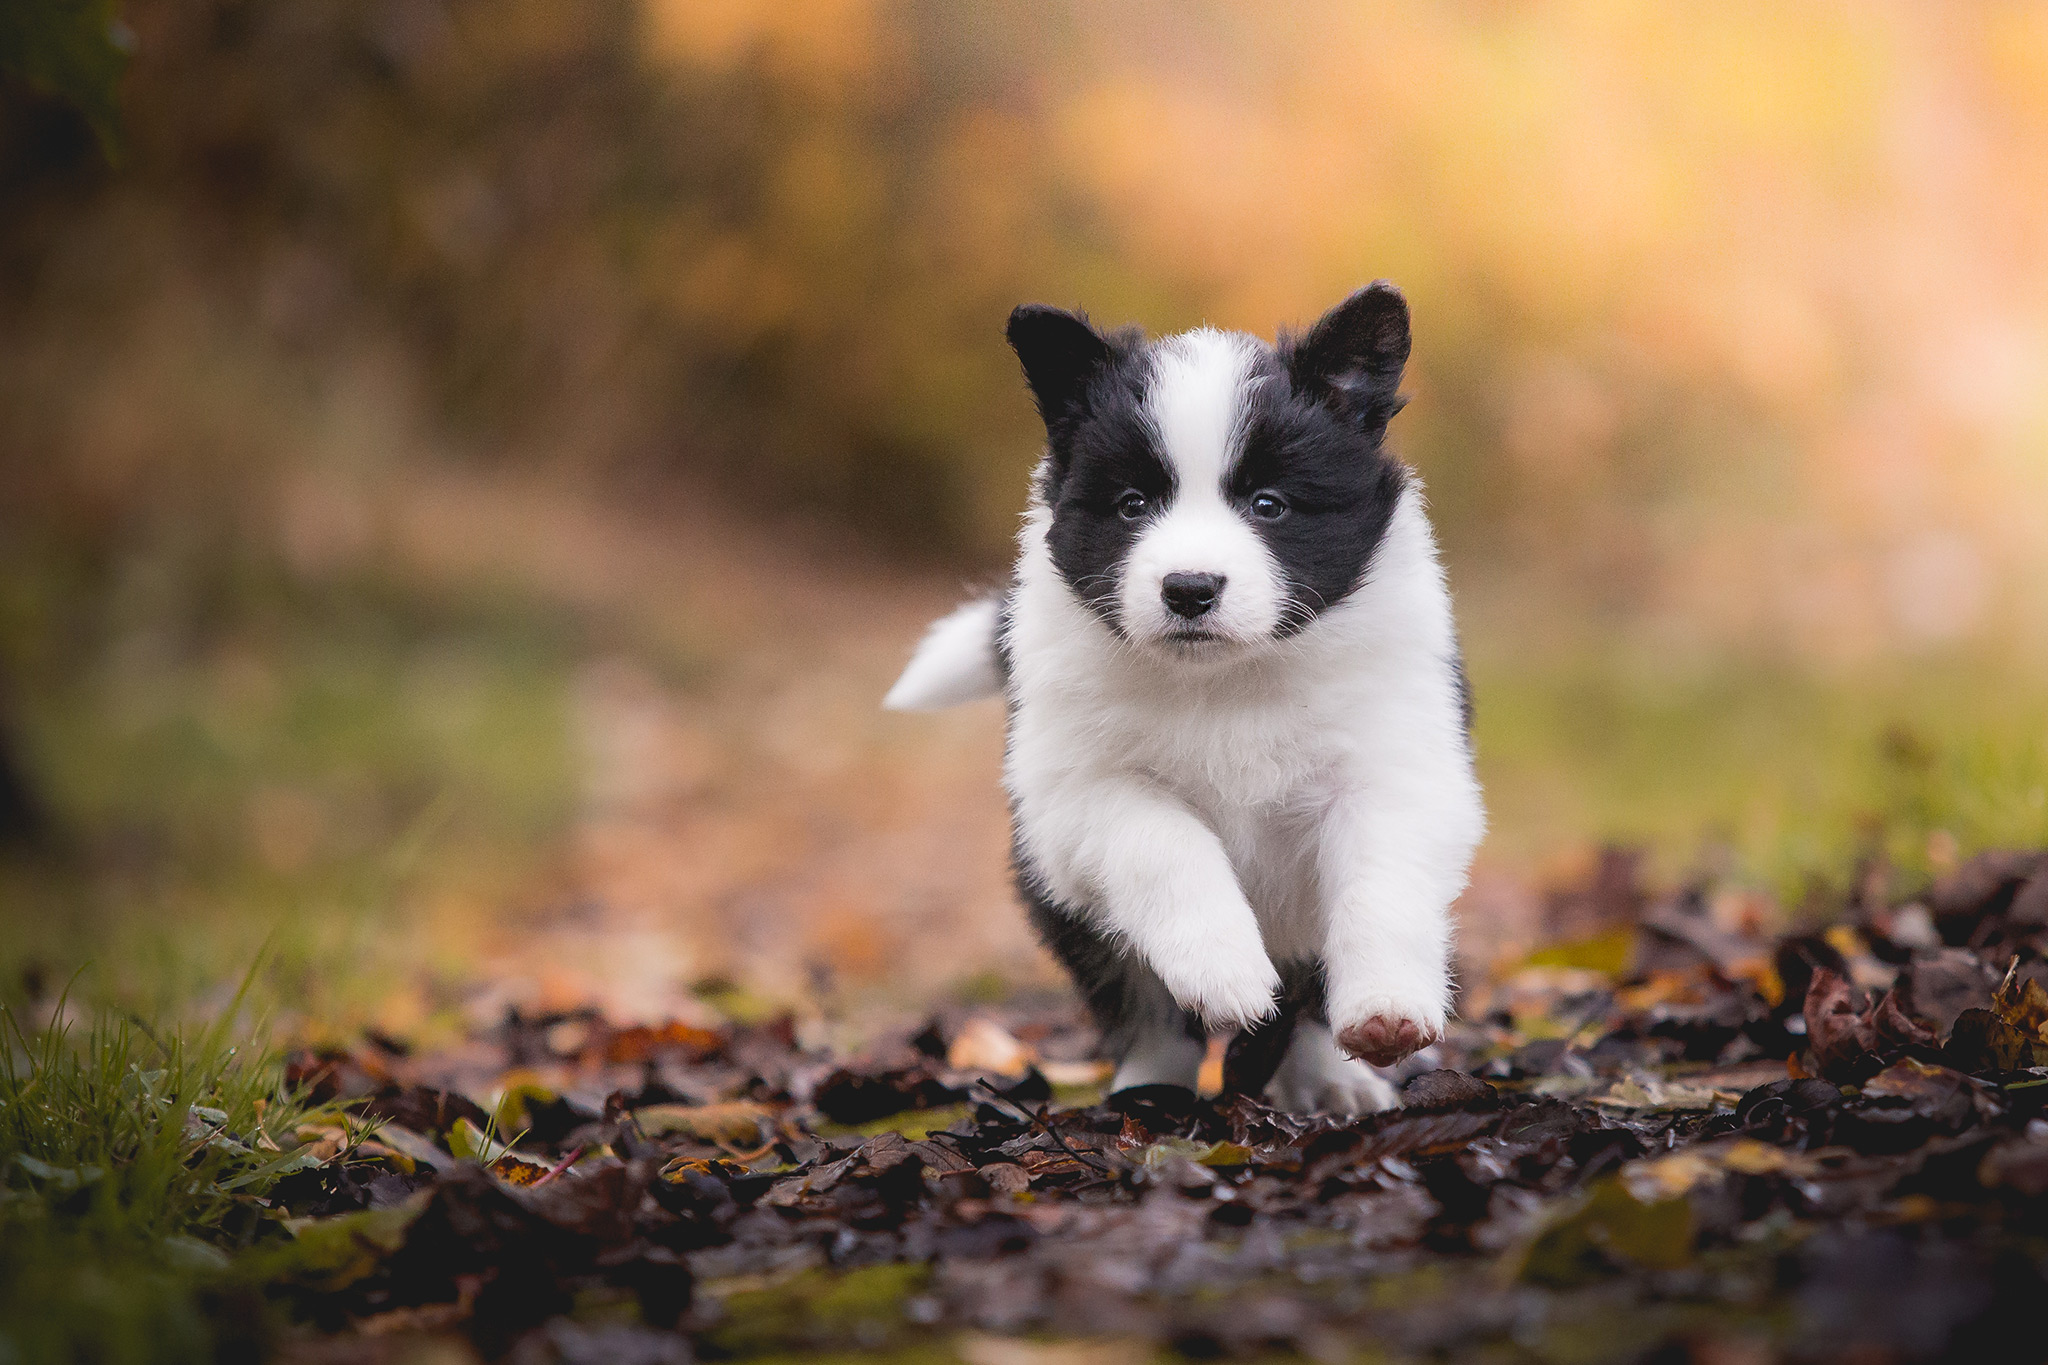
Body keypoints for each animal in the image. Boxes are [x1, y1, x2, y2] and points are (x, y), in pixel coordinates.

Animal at [888, 286, 1482, 1113]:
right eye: (1133, 503)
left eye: (1269, 504)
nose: (1190, 588)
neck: (1226, 680)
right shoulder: (1079, 794)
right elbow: (1166, 845)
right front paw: (1225, 973)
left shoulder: (1394, 764)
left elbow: (1381, 879)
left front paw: (1386, 1010)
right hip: (1067, 907)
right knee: (1138, 1002)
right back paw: (1149, 1088)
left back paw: (1331, 1081)